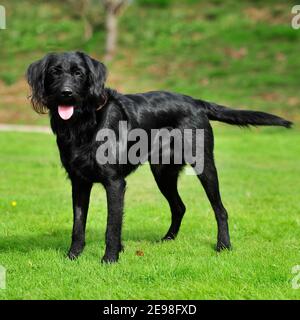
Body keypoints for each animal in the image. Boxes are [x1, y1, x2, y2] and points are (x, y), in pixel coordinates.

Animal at [27, 52, 292, 262]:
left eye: (79, 73)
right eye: (54, 72)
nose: (66, 93)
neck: (84, 122)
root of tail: (197, 102)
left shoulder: (115, 182)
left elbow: (112, 225)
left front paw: (110, 258)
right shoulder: (79, 182)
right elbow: (78, 223)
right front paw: (73, 256)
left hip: (204, 166)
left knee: (220, 209)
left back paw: (223, 246)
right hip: (163, 172)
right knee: (179, 206)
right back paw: (168, 239)